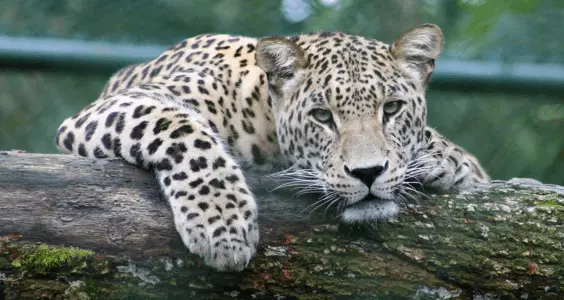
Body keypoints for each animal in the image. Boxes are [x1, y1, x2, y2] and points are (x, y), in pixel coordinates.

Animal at [55, 23, 492, 272]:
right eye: (322, 116)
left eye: (392, 109)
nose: (367, 173)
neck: (261, 113)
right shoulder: (112, 108)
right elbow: (181, 129)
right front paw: (222, 224)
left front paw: (447, 159)